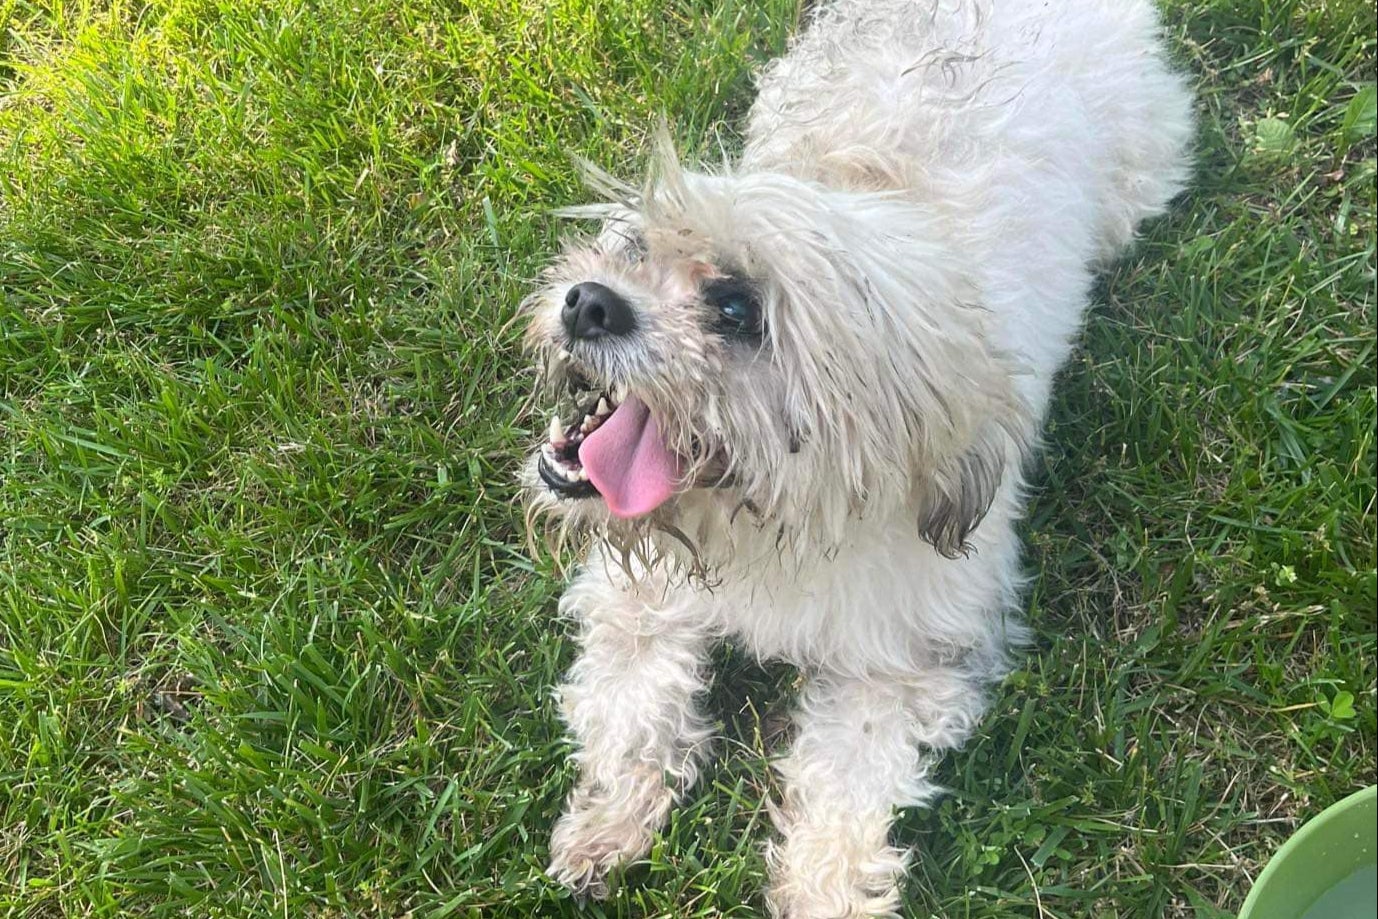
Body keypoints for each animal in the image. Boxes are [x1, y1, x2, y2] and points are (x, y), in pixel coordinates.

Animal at [520, 1, 1190, 914]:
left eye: (737, 309)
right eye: (633, 251)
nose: (588, 301)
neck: (769, 519)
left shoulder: (899, 664)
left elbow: (846, 789)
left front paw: (825, 890)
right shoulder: (641, 599)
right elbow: (632, 708)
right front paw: (607, 821)